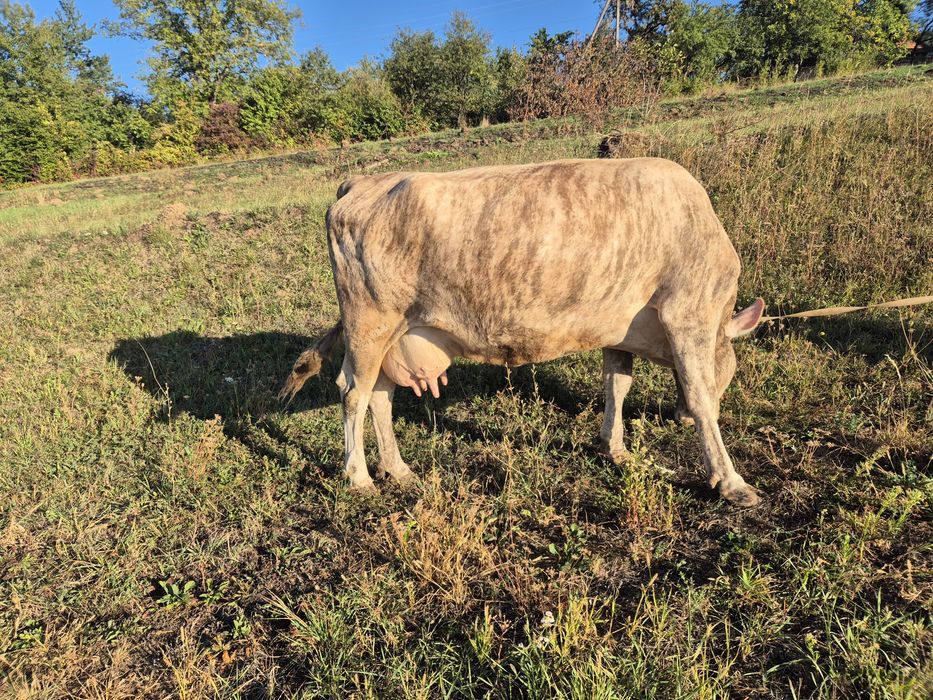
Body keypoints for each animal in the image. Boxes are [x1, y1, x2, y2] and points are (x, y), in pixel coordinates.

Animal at [281, 158, 765, 507]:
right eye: (727, 376)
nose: (677, 418)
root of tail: (363, 181)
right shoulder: (689, 313)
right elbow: (702, 399)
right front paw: (731, 481)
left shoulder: (618, 331)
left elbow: (617, 386)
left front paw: (614, 448)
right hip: (370, 322)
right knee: (353, 393)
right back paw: (359, 476)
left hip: (394, 332)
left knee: (380, 395)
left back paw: (397, 469)